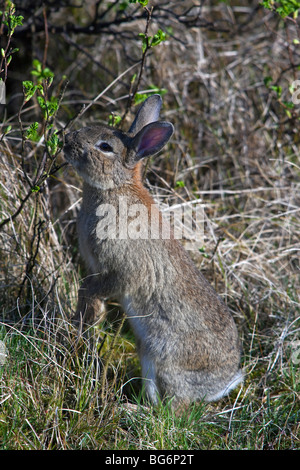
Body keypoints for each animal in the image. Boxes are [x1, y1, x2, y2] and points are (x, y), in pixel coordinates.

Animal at [63, 93, 244, 410]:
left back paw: (130, 410)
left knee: (172, 410)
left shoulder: (123, 270)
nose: (65, 141)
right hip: (148, 358)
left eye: (105, 147)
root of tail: (219, 386)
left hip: (165, 362)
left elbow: (102, 286)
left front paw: (88, 315)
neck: (116, 188)